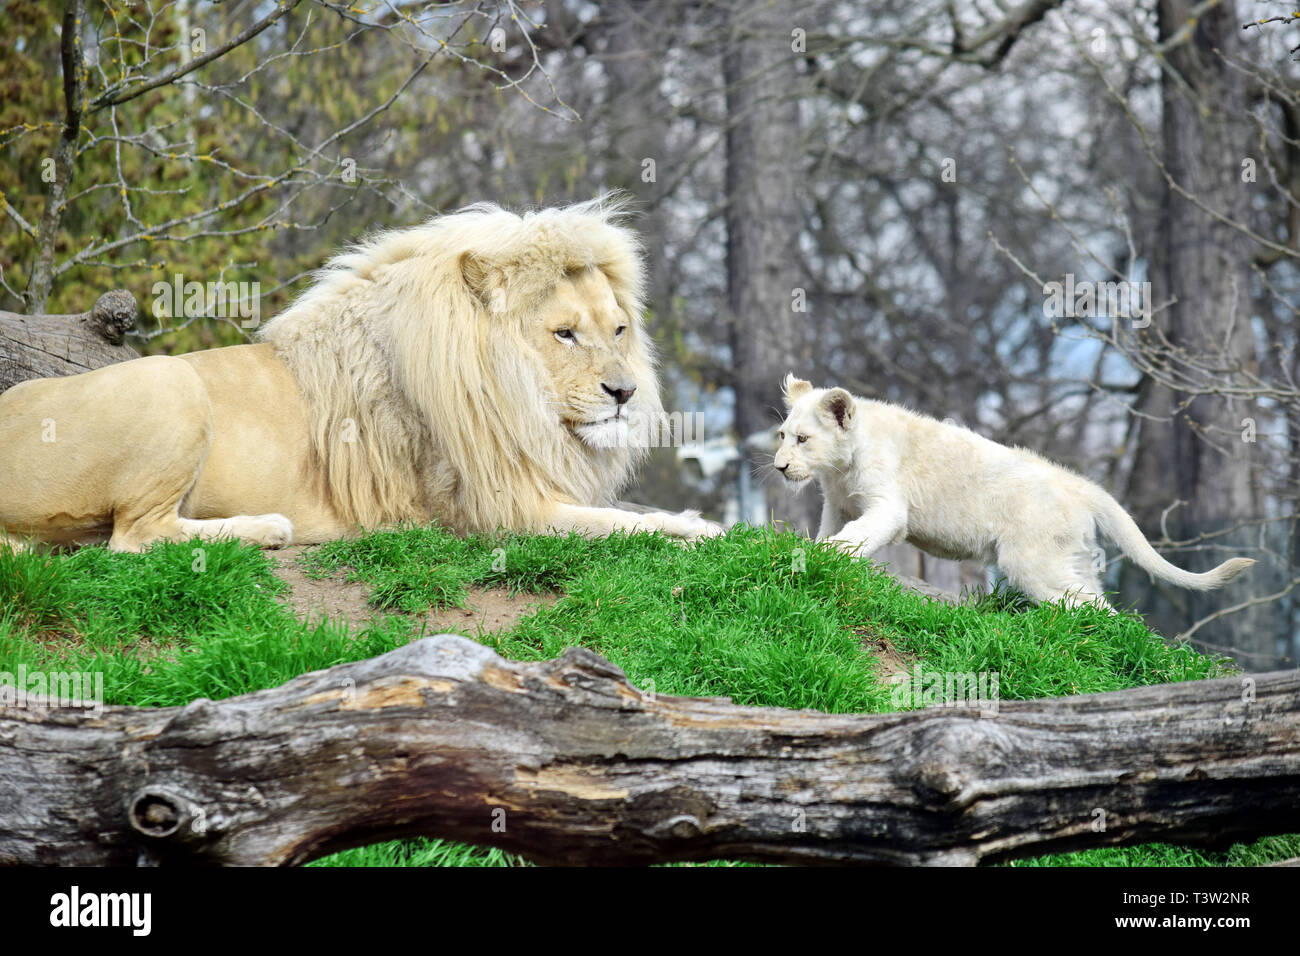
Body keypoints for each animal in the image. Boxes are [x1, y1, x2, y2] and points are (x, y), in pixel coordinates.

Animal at [0, 198, 720, 552]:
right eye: (564, 334)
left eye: (619, 330)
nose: (624, 393)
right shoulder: (496, 511)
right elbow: (625, 523)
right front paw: (698, 527)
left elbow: (625, 511)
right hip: (171, 386)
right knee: (133, 538)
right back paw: (268, 529)